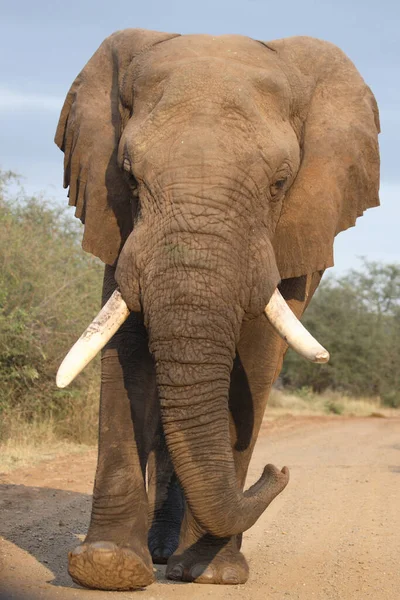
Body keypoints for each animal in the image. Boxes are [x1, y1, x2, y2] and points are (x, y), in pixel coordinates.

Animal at [54, 29, 380, 592]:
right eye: (130, 178)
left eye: (280, 183)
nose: (279, 471)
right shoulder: (119, 225)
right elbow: (127, 352)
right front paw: (109, 568)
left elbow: (254, 361)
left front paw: (213, 575)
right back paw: (159, 552)